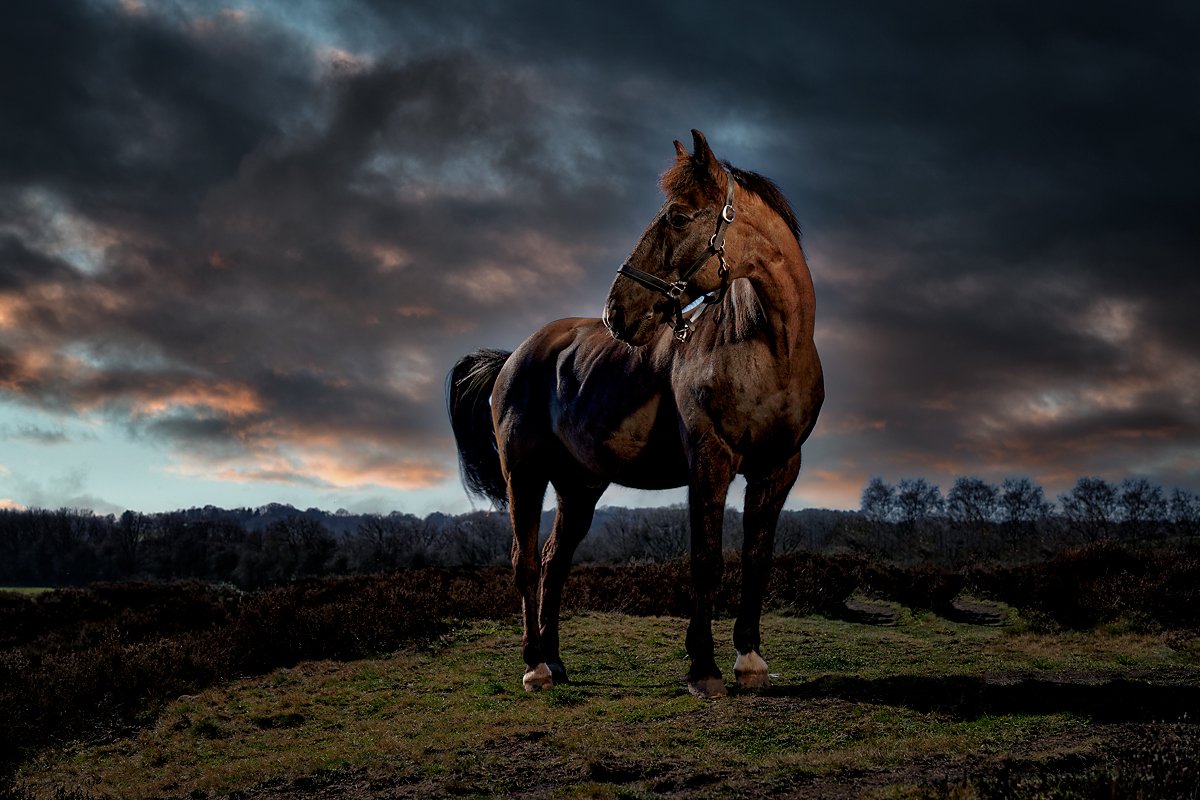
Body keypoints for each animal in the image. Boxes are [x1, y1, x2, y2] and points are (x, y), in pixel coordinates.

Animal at [447, 129, 824, 698]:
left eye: (677, 217)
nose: (616, 312)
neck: (770, 349)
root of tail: (514, 357)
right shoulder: (710, 461)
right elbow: (706, 560)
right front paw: (704, 669)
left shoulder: (779, 468)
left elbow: (757, 560)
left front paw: (750, 661)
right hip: (524, 474)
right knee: (525, 562)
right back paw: (535, 666)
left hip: (579, 485)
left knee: (554, 560)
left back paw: (555, 660)